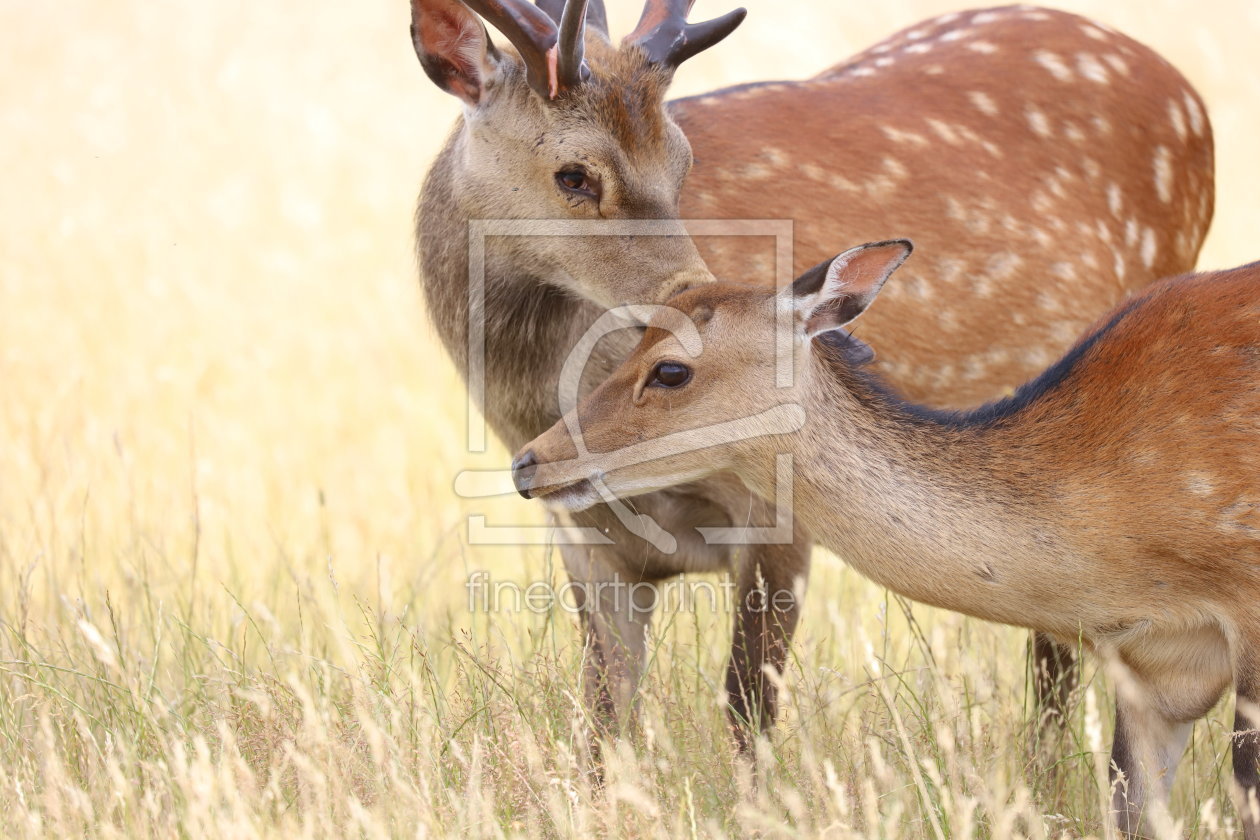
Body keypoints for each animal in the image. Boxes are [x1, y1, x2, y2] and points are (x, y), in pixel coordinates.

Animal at [410, 0, 1209, 755]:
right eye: (573, 174)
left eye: (682, 162)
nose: (696, 293)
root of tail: (1180, 84)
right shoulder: (585, 539)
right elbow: (603, 727)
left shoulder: (782, 512)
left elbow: (747, 711)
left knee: (1056, 667)